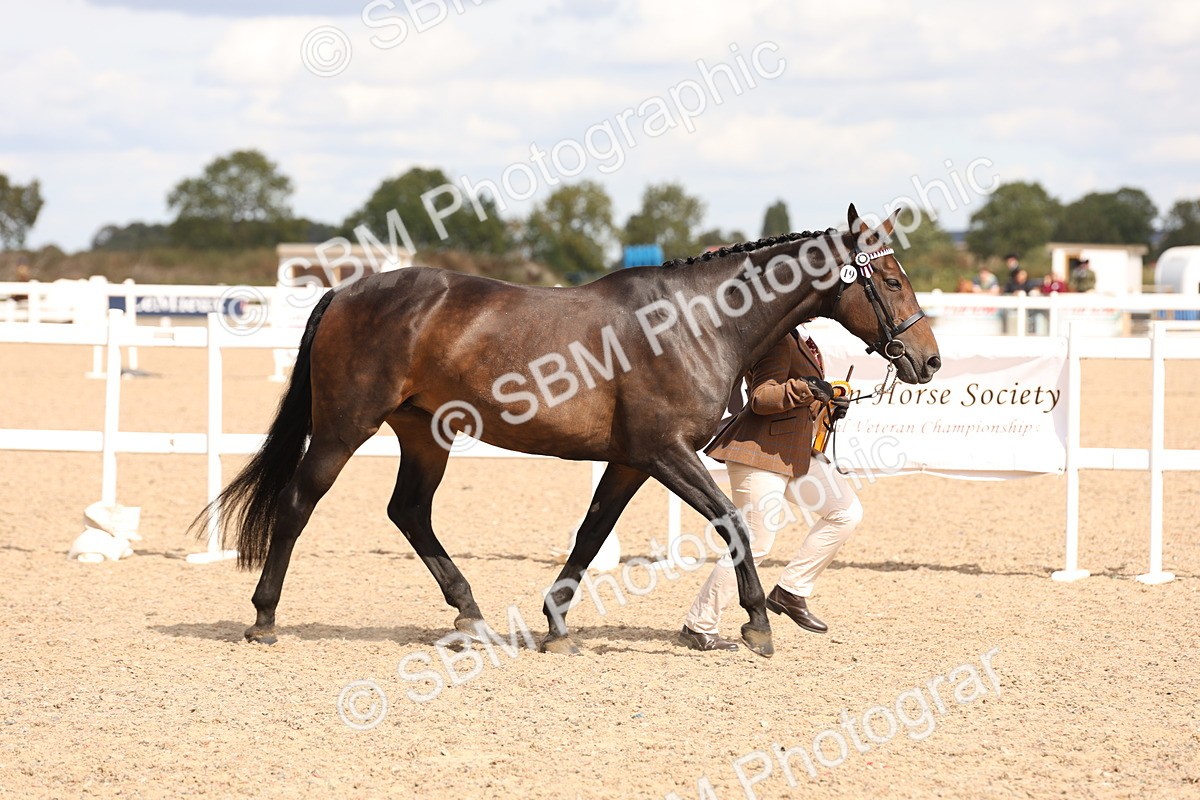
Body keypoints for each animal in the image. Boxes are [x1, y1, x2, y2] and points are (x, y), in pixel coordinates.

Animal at [195, 204, 940, 658]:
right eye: (890, 280)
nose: (928, 359)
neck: (696, 321)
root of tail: (345, 290)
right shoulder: (666, 452)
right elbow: (732, 521)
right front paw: (757, 623)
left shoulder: (633, 460)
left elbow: (590, 533)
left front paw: (556, 625)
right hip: (345, 427)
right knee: (299, 503)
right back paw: (264, 618)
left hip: (425, 434)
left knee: (408, 511)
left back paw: (470, 613)